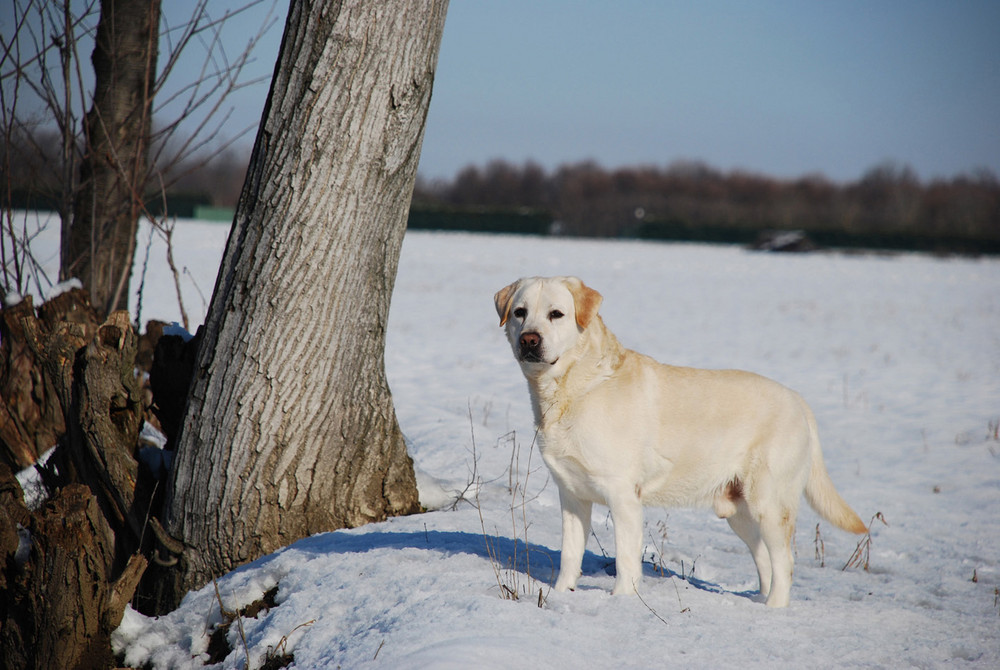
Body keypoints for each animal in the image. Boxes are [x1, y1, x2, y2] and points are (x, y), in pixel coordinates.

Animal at [494, 276, 868, 608]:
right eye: (520, 312)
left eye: (556, 314)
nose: (529, 340)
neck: (577, 387)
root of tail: (799, 402)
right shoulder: (572, 496)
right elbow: (570, 556)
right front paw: (561, 594)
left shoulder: (623, 495)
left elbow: (626, 560)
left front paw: (622, 601)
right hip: (740, 513)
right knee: (764, 559)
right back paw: (758, 602)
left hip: (770, 504)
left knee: (785, 563)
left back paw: (773, 609)